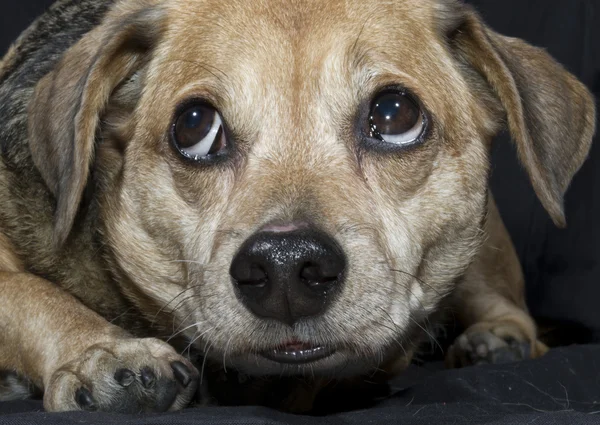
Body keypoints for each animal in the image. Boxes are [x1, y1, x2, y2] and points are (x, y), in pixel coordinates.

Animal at [0, 0, 596, 412]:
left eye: (395, 114)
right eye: (194, 126)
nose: (286, 269)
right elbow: (29, 293)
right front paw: (101, 353)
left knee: (509, 307)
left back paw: (499, 340)